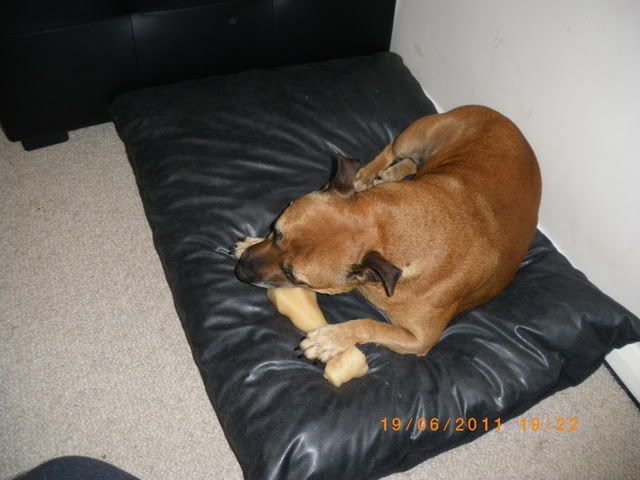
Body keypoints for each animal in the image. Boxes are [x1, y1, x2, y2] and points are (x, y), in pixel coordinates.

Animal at [235, 104, 540, 360]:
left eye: (293, 276)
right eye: (275, 232)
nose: (241, 271)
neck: (385, 229)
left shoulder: (418, 339)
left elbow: (371, 325)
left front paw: (330, 339)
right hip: (414, 136)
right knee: (392, 150)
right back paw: (367, 175)